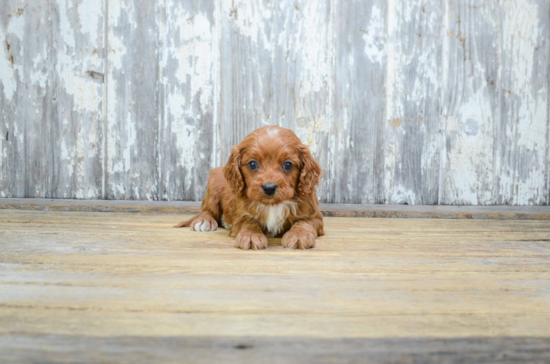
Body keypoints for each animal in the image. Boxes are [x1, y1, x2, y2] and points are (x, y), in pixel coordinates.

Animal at [176, 126, 324, 250]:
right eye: (252, 164)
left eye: (288, 165)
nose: (269, 188)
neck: (272, 205)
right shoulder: (240, 216)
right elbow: (248, 223)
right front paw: (251, 236)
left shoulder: (315, 216)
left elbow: (304, 223)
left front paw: (299, 235)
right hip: (213, 188)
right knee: (207, 210)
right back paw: (204, 221)